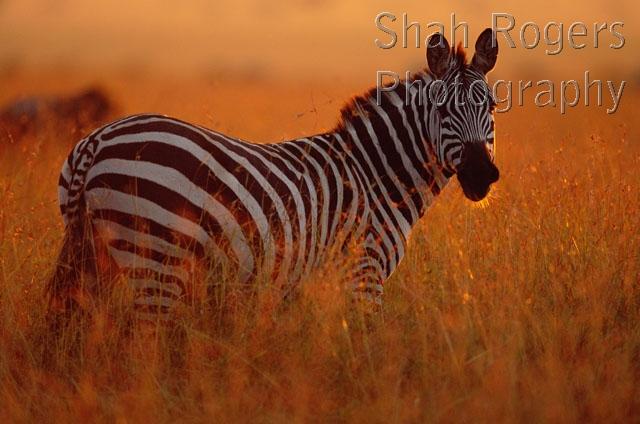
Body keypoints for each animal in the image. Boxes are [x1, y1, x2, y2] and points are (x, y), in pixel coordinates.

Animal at [48, 29, 500, 318]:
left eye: (492, 106)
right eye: (442, 109)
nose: (483, 176)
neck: (376, 177)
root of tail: (96, 141)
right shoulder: (364, 274)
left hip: (96, 257)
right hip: (157, 259)